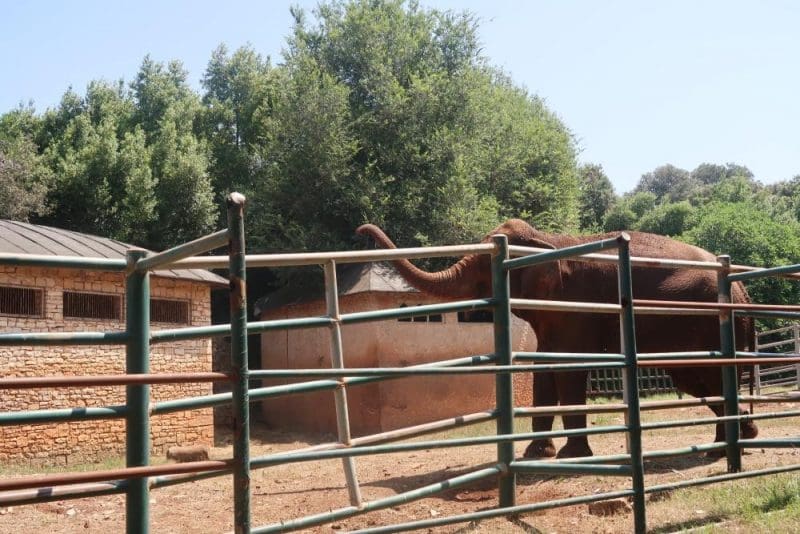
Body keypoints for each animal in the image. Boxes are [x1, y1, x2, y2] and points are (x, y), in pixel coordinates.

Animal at [357, 219, 759, 459]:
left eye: (487, 267)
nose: (361, 231)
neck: (550, 240)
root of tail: (744, 291)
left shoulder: (576, 306)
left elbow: (568, 369)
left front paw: (571, 456)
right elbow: (543, 370)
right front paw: (537, 455)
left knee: (709, 377)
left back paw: (728, 446)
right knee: (699, 381)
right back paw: (734, 441)